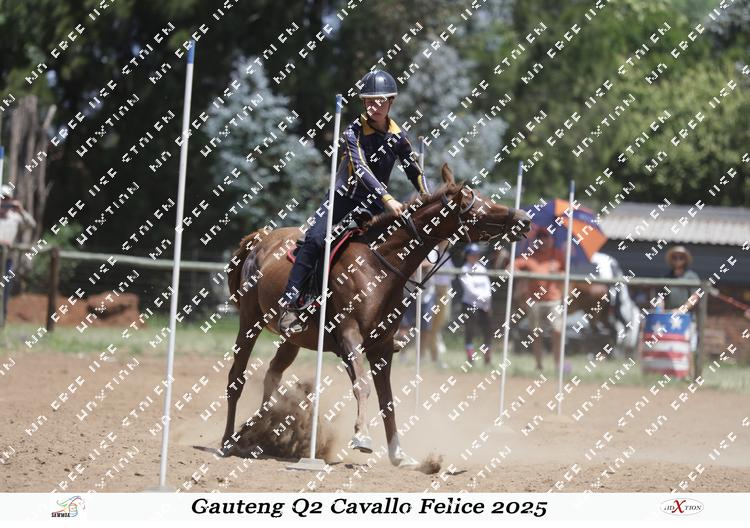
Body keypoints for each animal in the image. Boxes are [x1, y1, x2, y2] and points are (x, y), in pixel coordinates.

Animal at [221, 164, 531, 467]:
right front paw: (362, 436)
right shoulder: (349, 337)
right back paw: (228, 440)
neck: (377, 264)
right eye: (472, 203)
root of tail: (260, 241)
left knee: (273, 374)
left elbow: (387, 399)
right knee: (236, 378)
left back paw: (261, 428)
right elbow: (363, 386)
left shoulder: (382, 346)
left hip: (293, 339)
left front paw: (398, 453)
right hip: (249, 321)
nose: (525, 218)